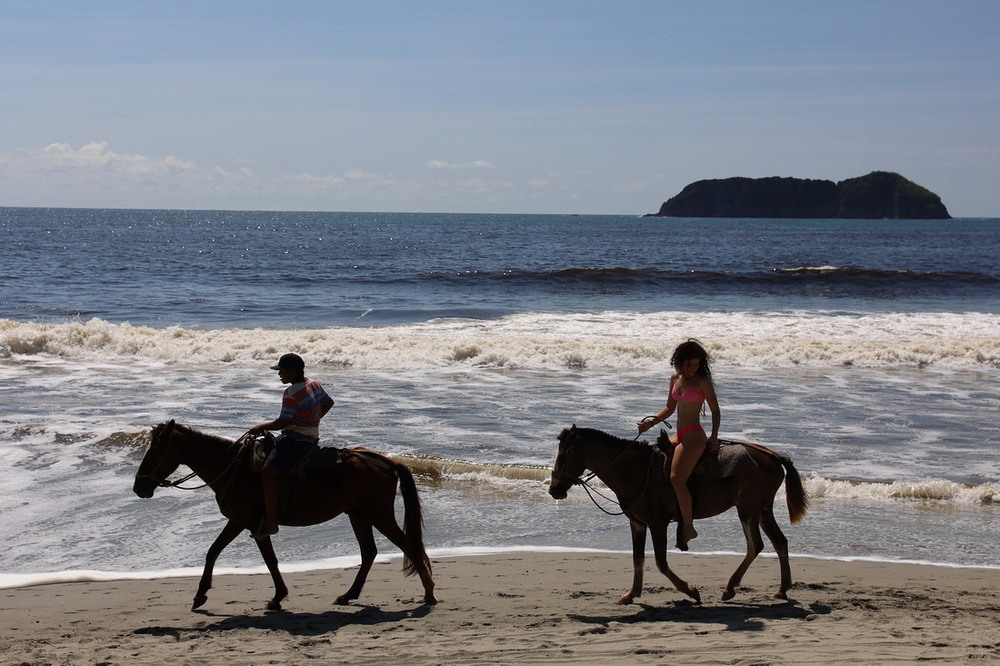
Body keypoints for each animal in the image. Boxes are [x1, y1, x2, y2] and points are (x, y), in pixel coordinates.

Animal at [132, 422, 434, 608]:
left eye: (156, 449)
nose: (139, 487)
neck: (233, 468)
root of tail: (388, 462)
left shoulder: (253, 524)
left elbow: (269, 560)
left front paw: (278, 597)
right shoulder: (239, 521)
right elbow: (214, 551)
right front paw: (200, 594)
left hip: (377, 514)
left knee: (408, 546)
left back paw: (429, 592)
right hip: (357, 514)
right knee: (369, 552)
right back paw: (348, 595)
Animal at [552, 426, 808, 600]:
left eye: (564, 455)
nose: (553, 490)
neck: (638, 472)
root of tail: (774, 457)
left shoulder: (658, 524)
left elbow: (660, 562)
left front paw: (690, 590)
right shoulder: (638, 524)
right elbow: (637, 559)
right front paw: (632, 594)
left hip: (748, 510)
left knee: (756, 545)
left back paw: (730, 587)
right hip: (763, 510)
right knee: (780, 542)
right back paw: (782, 588)